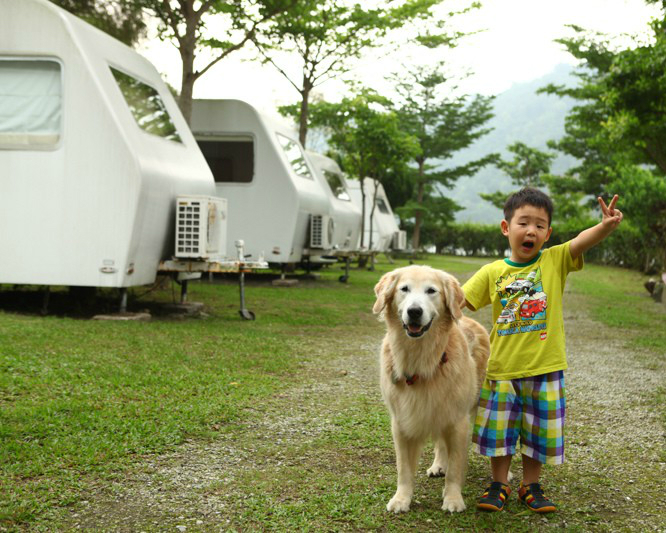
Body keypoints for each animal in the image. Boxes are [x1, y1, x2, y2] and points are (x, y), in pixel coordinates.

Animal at [374, 264, 488, 512]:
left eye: (431, 291)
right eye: (404, 289)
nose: (414, 311)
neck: (422, 357)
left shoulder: (457, 419)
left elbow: (455, 467)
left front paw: (453, 498)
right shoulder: (402, 421)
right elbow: (404, 469)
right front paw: (402, 498)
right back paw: (438, 465)